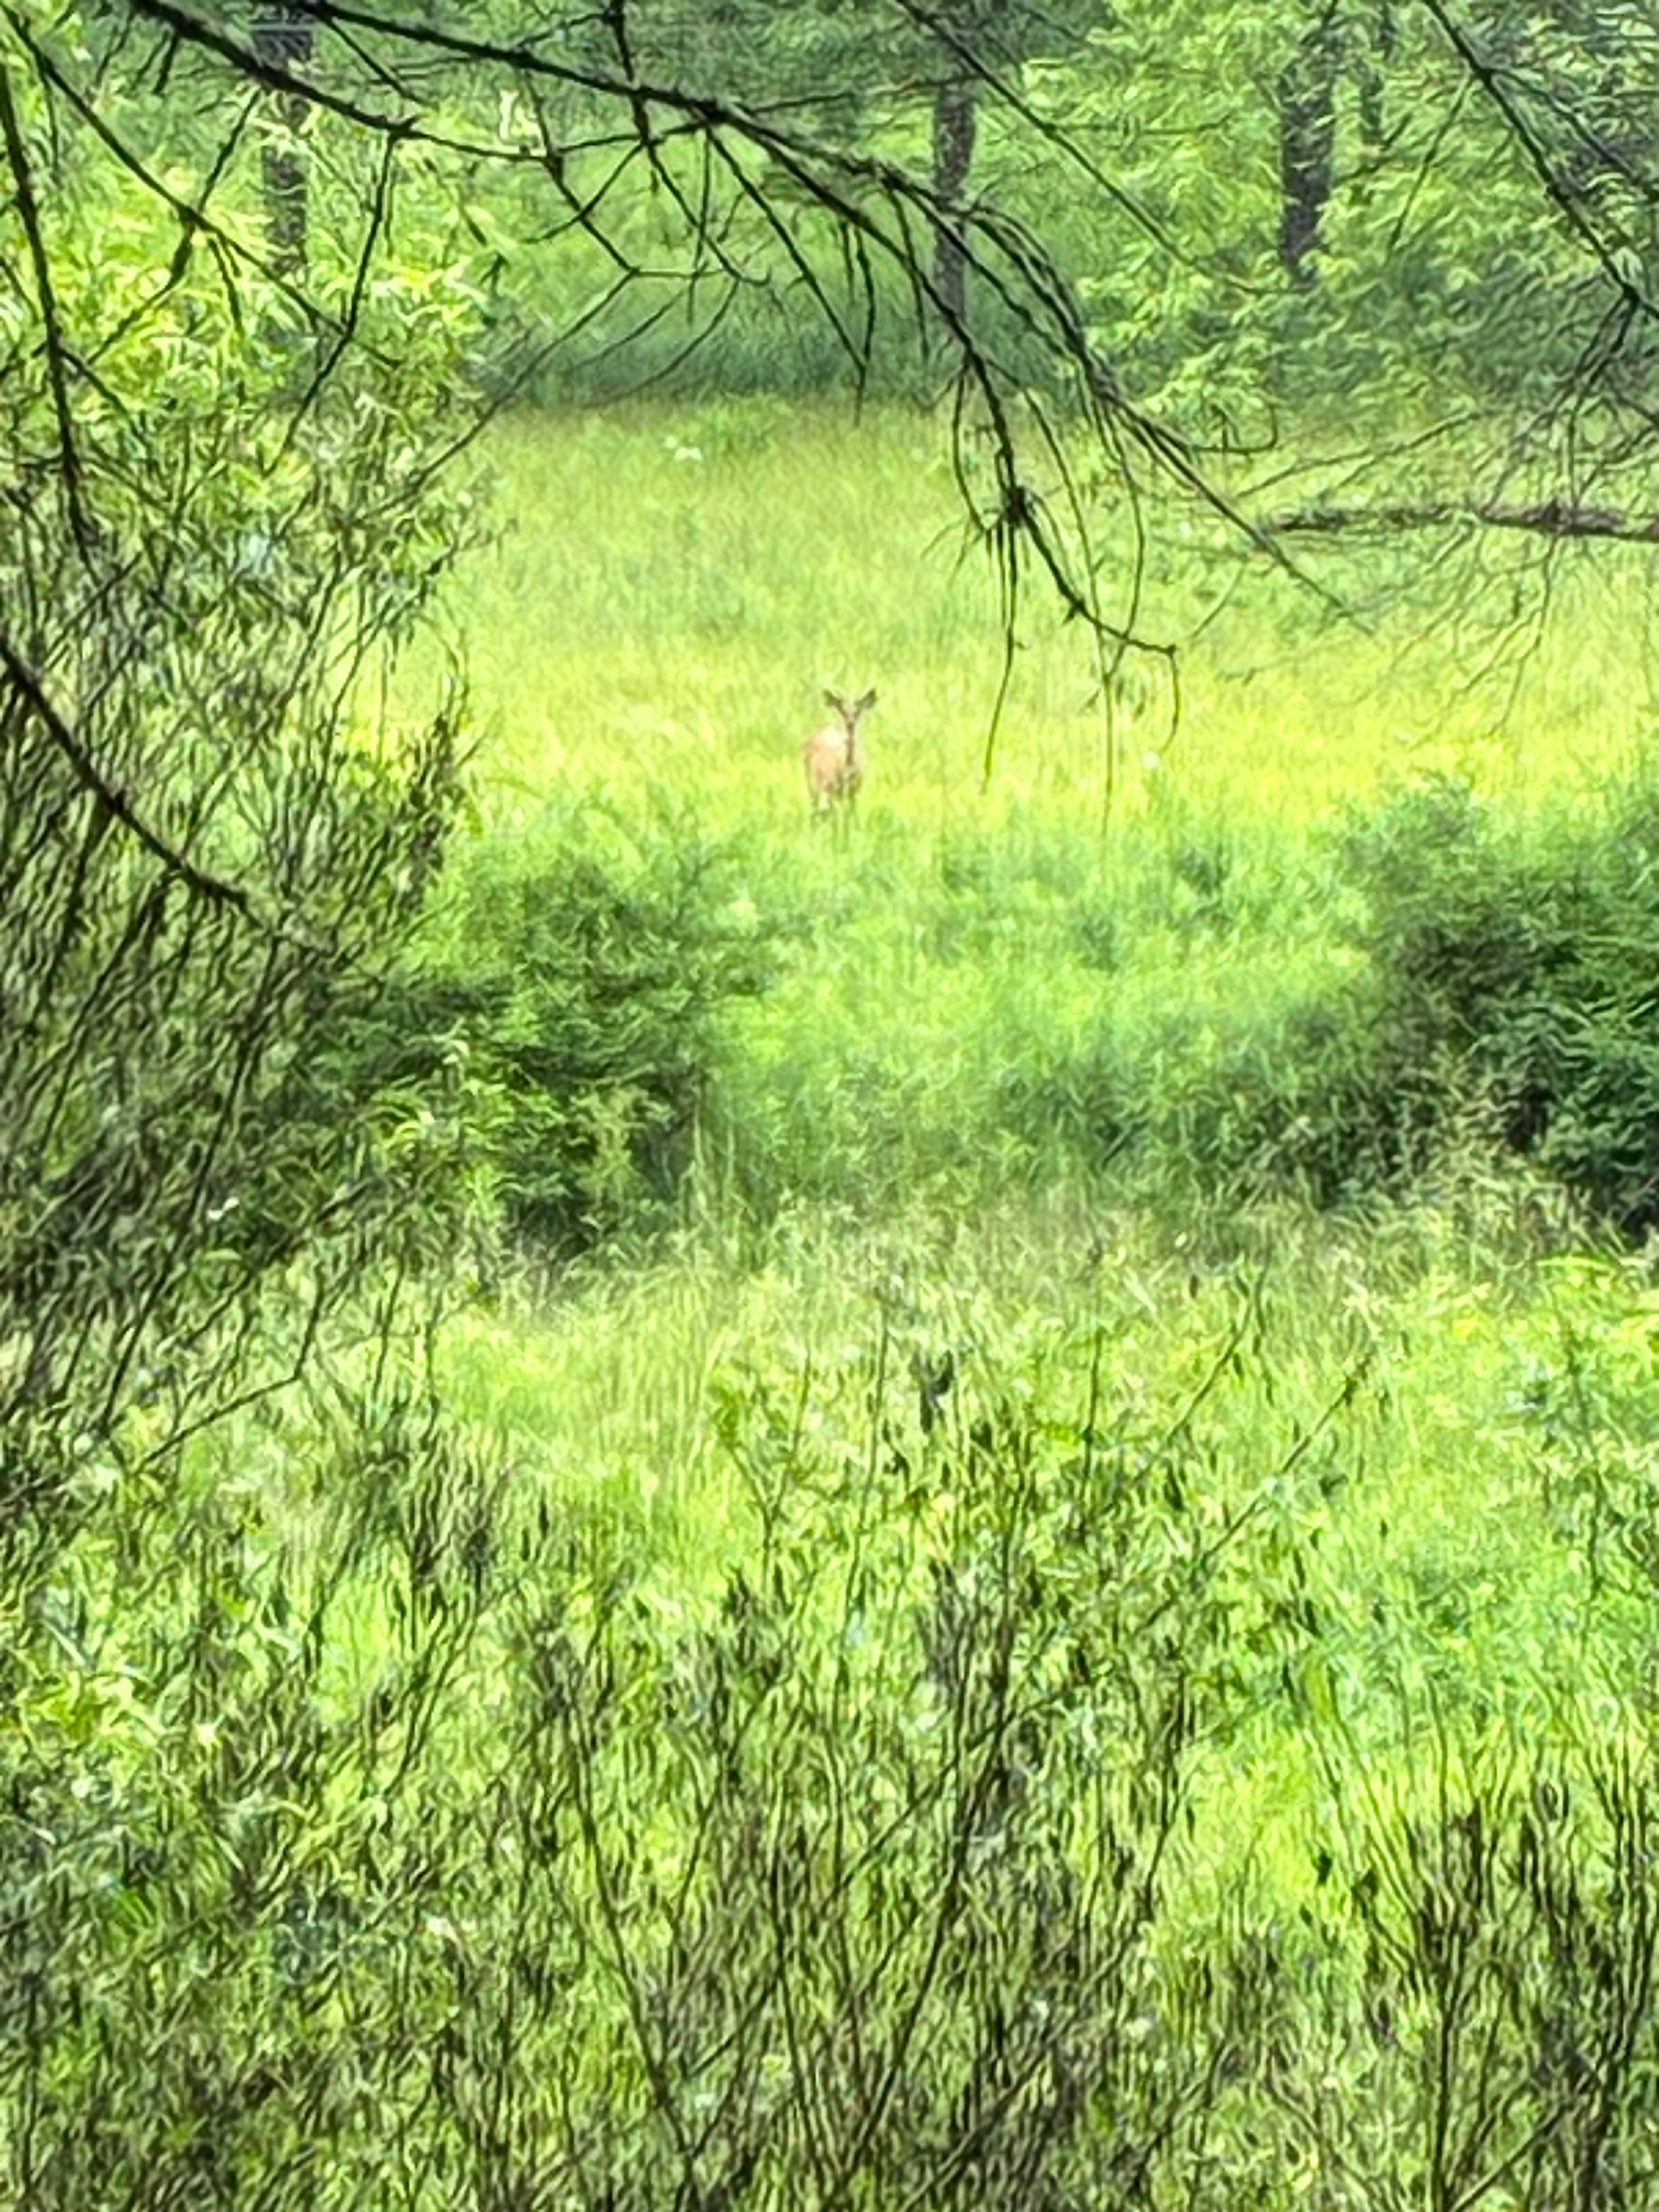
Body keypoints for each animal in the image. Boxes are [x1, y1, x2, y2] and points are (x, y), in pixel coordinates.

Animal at [803, 688, 876, 821]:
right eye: (842, 711)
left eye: (857, 712)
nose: (850, 723)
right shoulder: (830, 788)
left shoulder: (853, 792)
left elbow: (850, 815)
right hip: (813, 784)